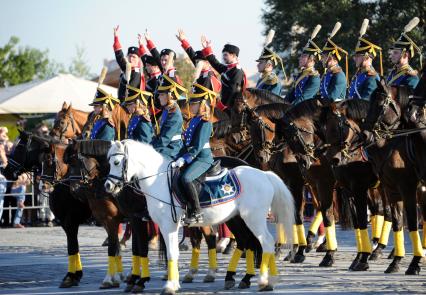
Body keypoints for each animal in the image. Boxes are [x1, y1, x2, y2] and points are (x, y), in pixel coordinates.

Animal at [105, 142, 294, 295]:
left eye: (116, 162)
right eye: (108, 162)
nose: (108, 185)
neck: (157, 180)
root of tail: (264, 174)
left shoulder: (166, 224)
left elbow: (169, 252)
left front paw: (167, 285)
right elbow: (167, 252)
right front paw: (172, 283)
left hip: (253, 218)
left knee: (266, 242)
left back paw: (263, 281)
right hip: (236, 218)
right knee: (246, 241)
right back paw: (261, 281)